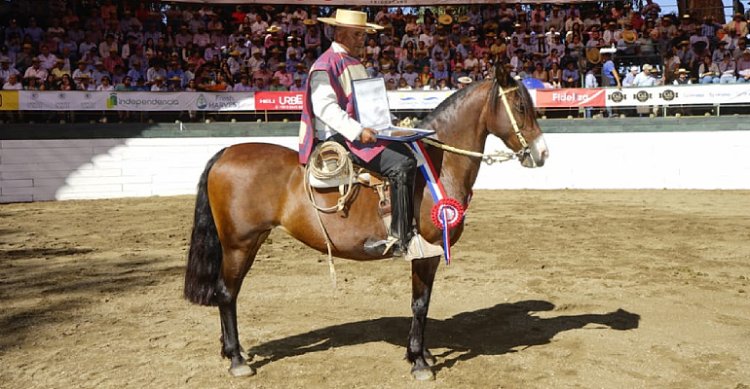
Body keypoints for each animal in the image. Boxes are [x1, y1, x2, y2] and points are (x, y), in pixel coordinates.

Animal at [185, 66, 548, 378]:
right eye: (520, 105)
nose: (541, 153)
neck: (437, 165)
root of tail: (226, 152)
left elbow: (425, 301)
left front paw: (423, 354)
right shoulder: (425, 252)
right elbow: (419, 303)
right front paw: (418, 361)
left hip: (251, 240)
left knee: (229, 292)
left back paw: (233, 351)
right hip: (239, 244)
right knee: (226, 293)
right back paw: (236, 359)